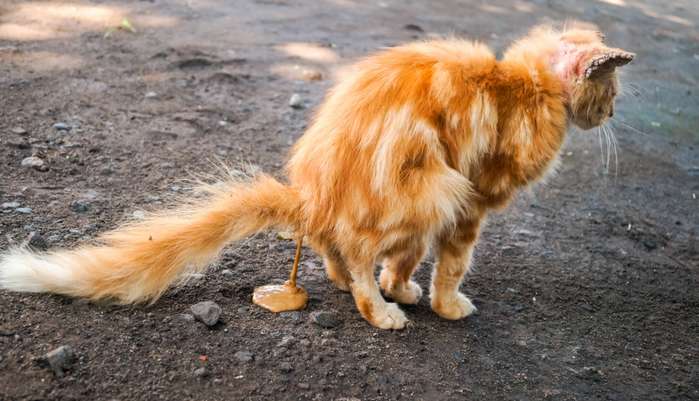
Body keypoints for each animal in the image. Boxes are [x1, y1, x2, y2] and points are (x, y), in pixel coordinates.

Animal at [0, 24, 636, 328]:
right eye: (610, 92)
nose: (611, 115)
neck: (528, 86)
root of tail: (316, 198)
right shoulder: (470, 204)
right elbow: (449, 268)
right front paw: (442, 305)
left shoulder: (452, 209)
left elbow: (407, 262)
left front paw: (404, 287)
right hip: (432, 188)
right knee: (355, 256)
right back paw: (381, 313)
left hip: (427, 193)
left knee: (341, 253)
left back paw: (360, 288)